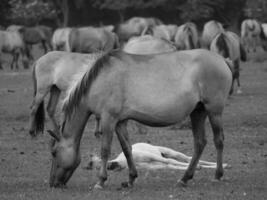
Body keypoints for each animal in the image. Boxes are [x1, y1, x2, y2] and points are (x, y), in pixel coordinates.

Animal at [46, 48, 232, 189]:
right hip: (198, 112)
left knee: (219, 141)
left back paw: (218, 175)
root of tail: (222, 60)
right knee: (200, 143)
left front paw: (101, 181)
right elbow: (127, 149)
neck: (100, 80)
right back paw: (185, 178)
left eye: (54, 152)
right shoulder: (120, 122)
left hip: (214, 111)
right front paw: (131, 179)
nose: (53, 183)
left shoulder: (108, 119)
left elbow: (105, 149)